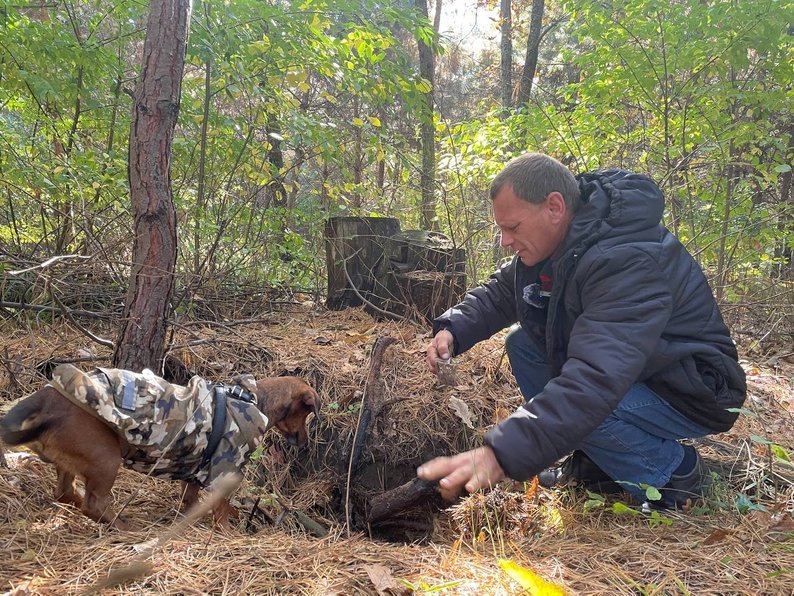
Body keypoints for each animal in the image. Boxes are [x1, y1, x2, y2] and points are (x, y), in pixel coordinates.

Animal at [2, 368, 322, 532]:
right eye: (307, 414)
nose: (306, 444)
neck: (254, 399)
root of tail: (47, 397)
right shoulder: (225, 471)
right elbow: (220, 510)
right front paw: (229, 531)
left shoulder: (194, 474)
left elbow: (193, 499)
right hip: (107, 458)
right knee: (93, 504)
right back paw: (124, 525)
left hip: (73, 461)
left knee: (65, 493)